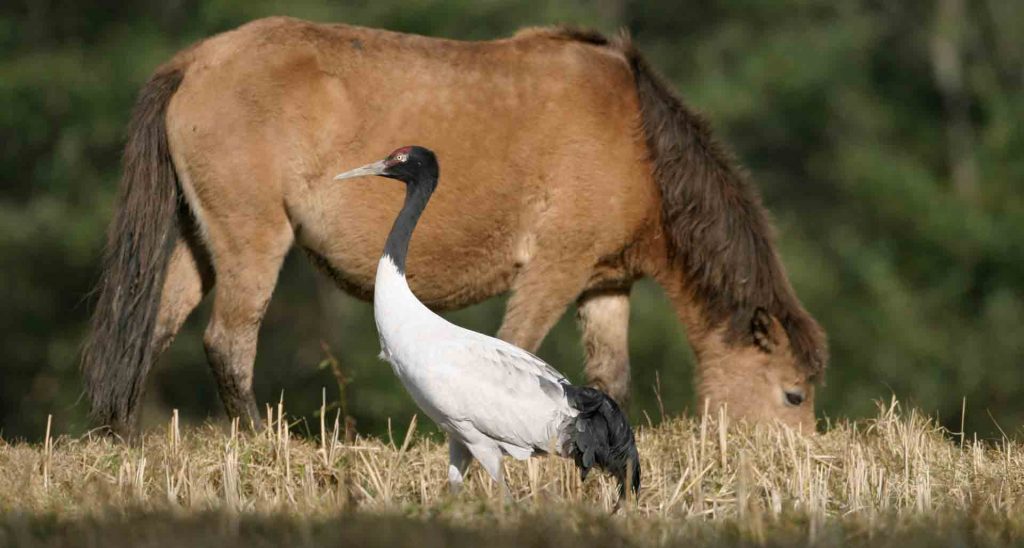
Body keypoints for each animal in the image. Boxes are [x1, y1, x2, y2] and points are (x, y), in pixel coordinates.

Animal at [83, 18, 827, 438]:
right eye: (792, 394)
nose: (798, 460)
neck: (639, 141)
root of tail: (194, 62)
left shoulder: (603, 286)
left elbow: (610, 379)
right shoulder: (553, 269)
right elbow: (516, 351)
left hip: (198, 243)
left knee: (154, 331)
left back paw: (124, 437)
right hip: (253, 241)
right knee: (229, 342)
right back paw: (260, 441)